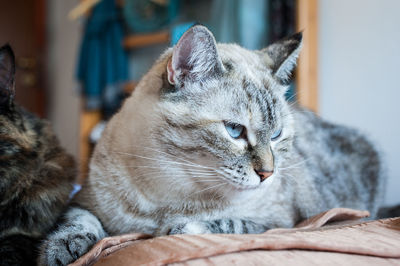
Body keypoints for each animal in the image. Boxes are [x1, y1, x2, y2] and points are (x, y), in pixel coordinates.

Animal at [39, 24, 384, 264]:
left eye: (276, 135)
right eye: (234, 131)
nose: (268, 174)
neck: (168, 194)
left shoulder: (281, 222)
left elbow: (220, 224)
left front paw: (177, 228)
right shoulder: (85, 199)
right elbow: (78, 222)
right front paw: (59, 251)